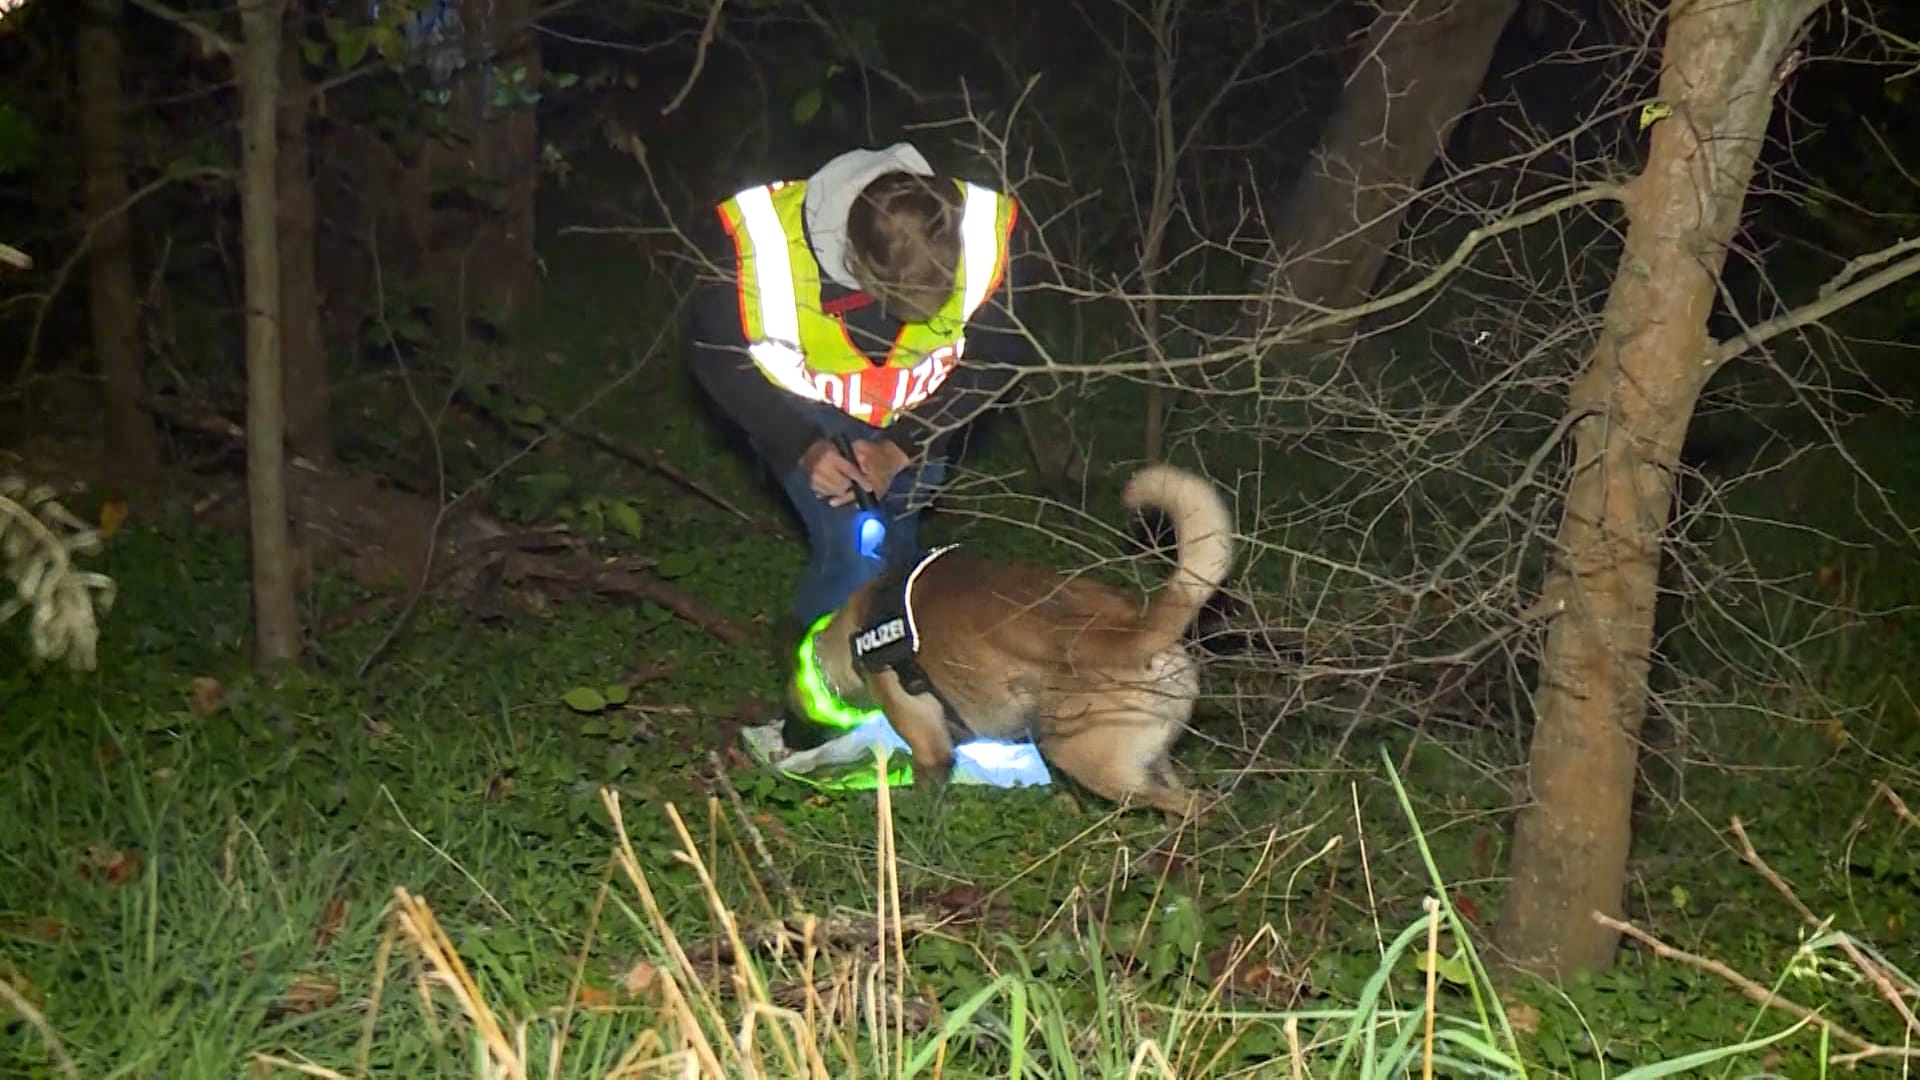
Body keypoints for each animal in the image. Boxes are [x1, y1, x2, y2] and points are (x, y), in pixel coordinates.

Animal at [791, 463, 1228, 814]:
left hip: (1085, 757)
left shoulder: (930, 748)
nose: (790, 730)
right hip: (1154, 756)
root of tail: (1135, 625)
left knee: (1188, 806)